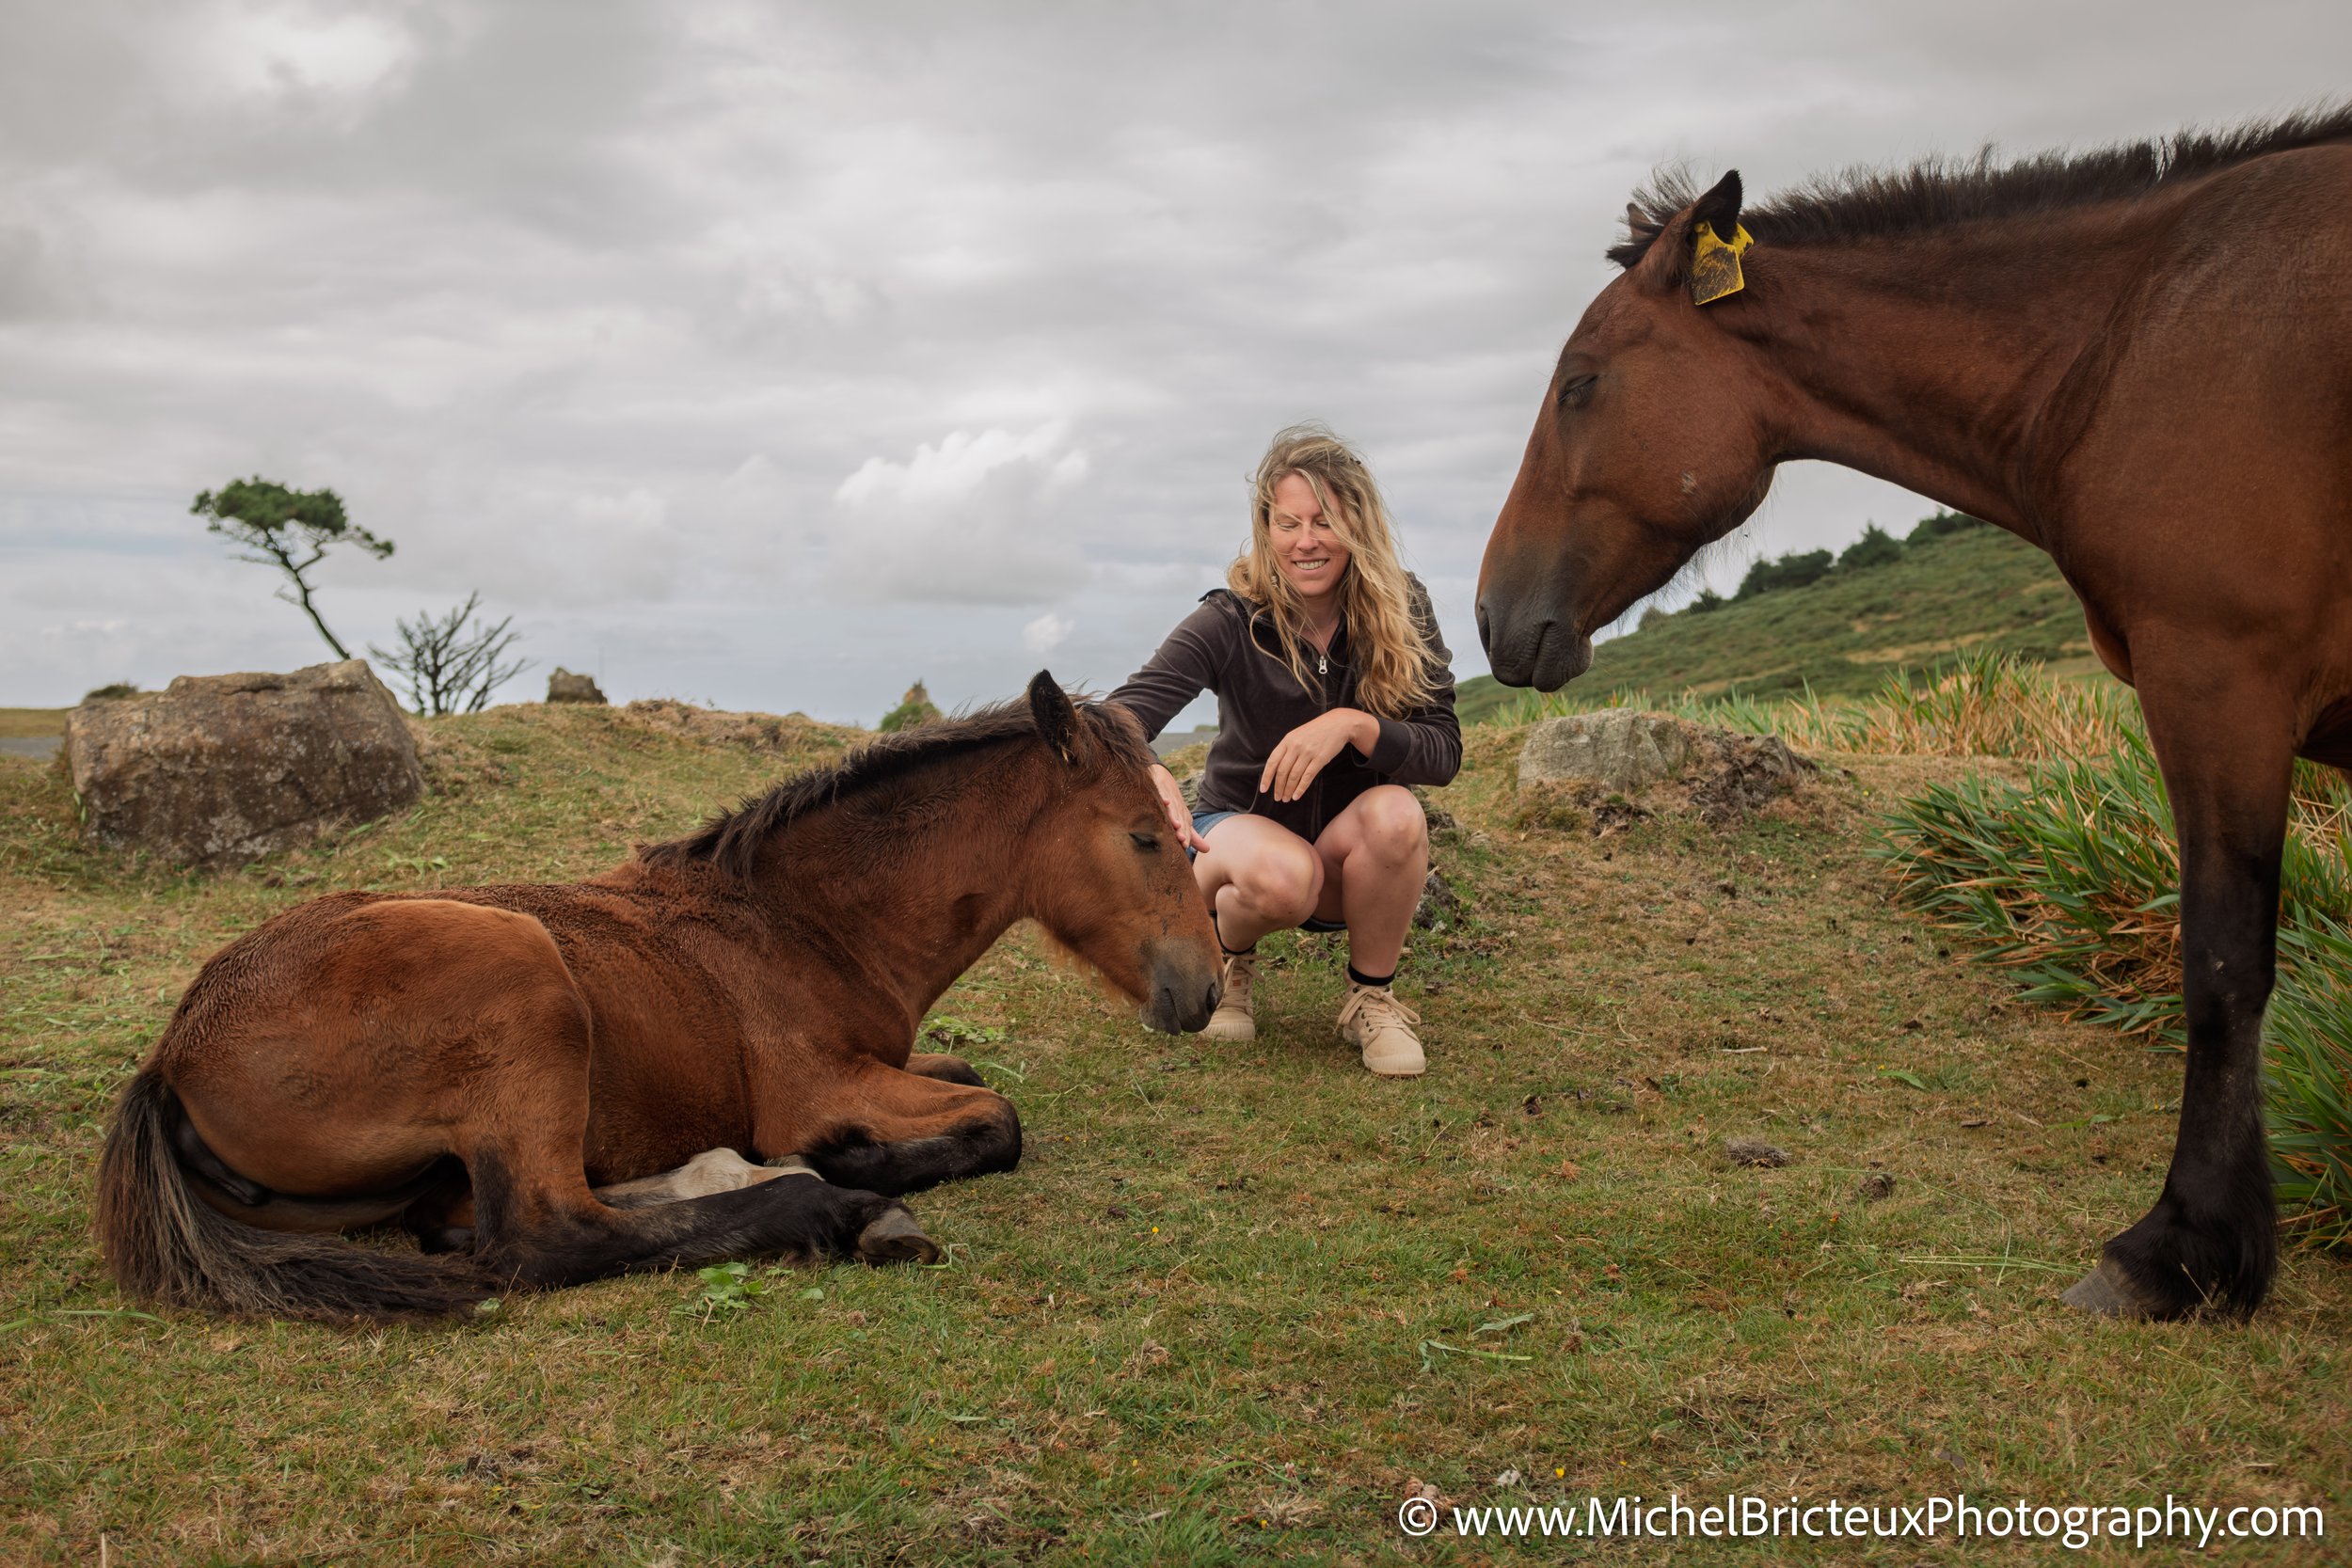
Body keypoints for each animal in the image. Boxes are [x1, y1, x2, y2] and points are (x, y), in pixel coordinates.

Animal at [95, 674, 1223, 1323]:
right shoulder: (818, 1086)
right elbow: (999, 1118)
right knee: (543, 1235)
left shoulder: (889, 1059)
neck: (796, 919)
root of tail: (174, 1056)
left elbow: (974, 1075)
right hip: (522, 984)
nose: (1205, 988)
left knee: (470, 1215)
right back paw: (838, 1201)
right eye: (1143, 835)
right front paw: (851, 1158)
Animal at [1476, 110, 2352, 1320]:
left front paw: (2180, 1248)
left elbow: (2222, 965)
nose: (1489, 613)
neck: (2133, 334)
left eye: (1578, 384)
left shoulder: (2218, 682)